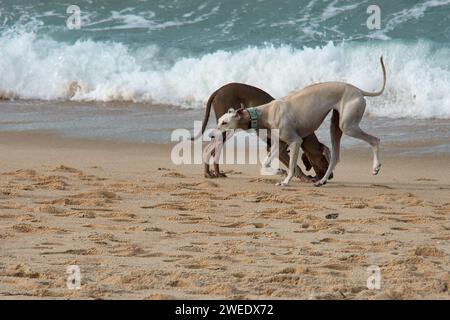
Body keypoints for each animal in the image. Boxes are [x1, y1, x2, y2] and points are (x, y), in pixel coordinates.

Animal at [193, 82, 330, 181]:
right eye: (323, 159)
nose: (331, 176)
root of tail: (218, 91)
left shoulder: (278, 147)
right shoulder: (279, 148)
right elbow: (295, 166)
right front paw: (304, 178)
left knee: (213, 151)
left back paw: (214, 173)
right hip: (225, 130)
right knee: (209, 149)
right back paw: (209, 173)